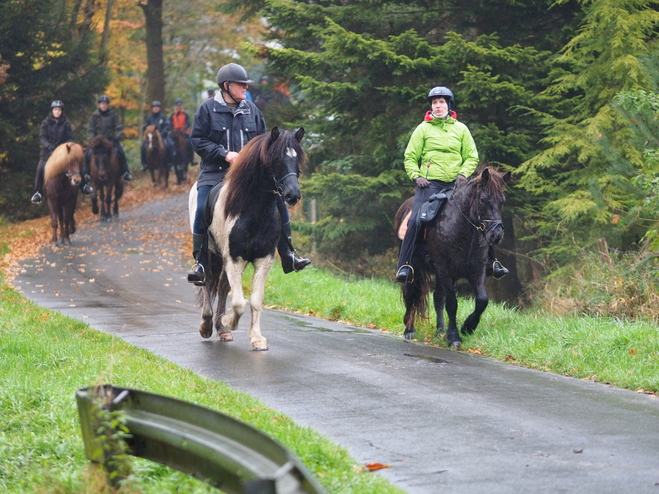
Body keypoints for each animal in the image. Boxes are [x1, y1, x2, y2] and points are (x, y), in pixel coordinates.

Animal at [188, 127, 306, 352]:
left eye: (297, 159)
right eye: (277, 159)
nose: (293, 195)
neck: (254, 211)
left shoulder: (264, 259)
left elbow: (255, 301)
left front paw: (257, 338)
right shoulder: (234, 259)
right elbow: (239, 303)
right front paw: (228, 321)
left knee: (222, 288)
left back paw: (221, 329)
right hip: (211, 254)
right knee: (207, 282)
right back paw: (207, 325)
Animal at [394, 168, 512, 350]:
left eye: (502, 201)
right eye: (483, 200)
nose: (496, 235)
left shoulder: (477, 269)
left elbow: (482, 300)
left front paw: (467, 327)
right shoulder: (445, 269)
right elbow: (452, 303)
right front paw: (454, 337)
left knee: (437, 299)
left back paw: (440, 331)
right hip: (414, 267)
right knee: (411, 293)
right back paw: (409, 329)